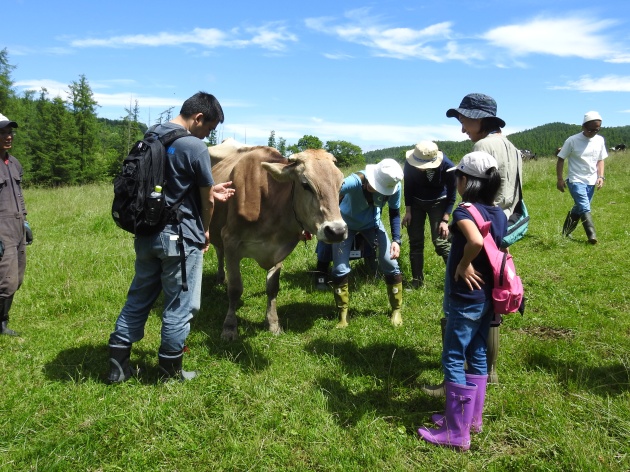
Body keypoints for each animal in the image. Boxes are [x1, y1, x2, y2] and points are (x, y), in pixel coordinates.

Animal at [209, 143, 348, 340]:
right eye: (306, 184)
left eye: (341, 184)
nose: (337, 231)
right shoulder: (230, 240)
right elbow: (235, 289)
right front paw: (229, 327)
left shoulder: (280, 248)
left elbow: (273, 287)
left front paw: (273, 323)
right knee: (219, 252)